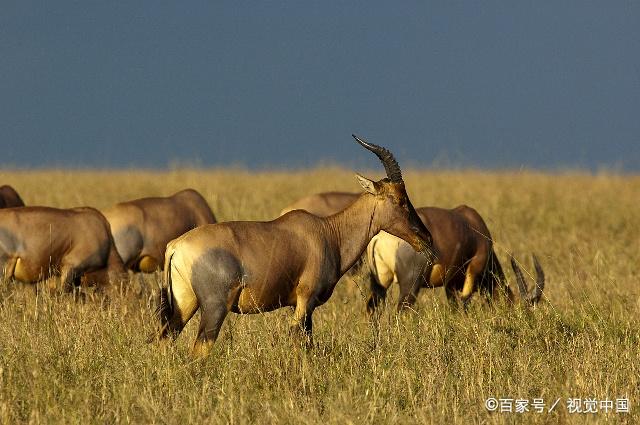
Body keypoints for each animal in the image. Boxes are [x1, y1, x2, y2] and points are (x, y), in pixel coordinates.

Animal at [154, 135, 436, 354]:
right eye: (399, 200)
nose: (426, 239)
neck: (327, 232)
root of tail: (176, 246)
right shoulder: (304, 301)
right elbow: (299, 342)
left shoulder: (302, 307)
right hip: (214, 307)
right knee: (199, 348)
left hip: (184, 303)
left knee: (165, 338)